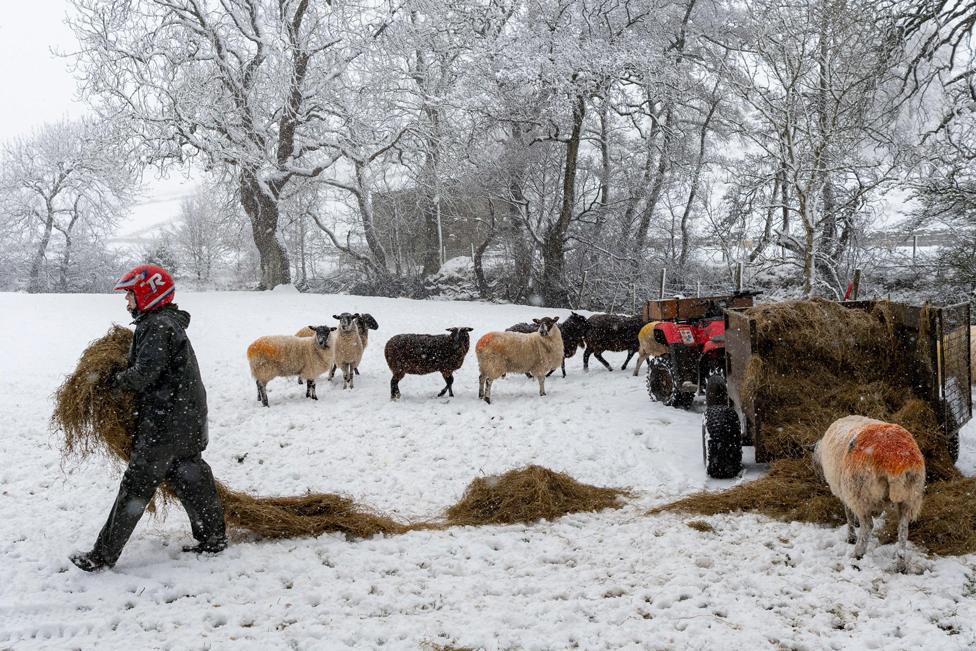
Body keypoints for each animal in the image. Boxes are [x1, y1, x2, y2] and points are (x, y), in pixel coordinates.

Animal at [812, 416, 928, 572]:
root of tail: (897, 460)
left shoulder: (846, 493)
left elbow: (848, 514)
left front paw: (851, 536)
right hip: (910, 497)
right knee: (903, 531)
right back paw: (901, 565)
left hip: (860, 493)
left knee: (868, 525)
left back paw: (858, 553)